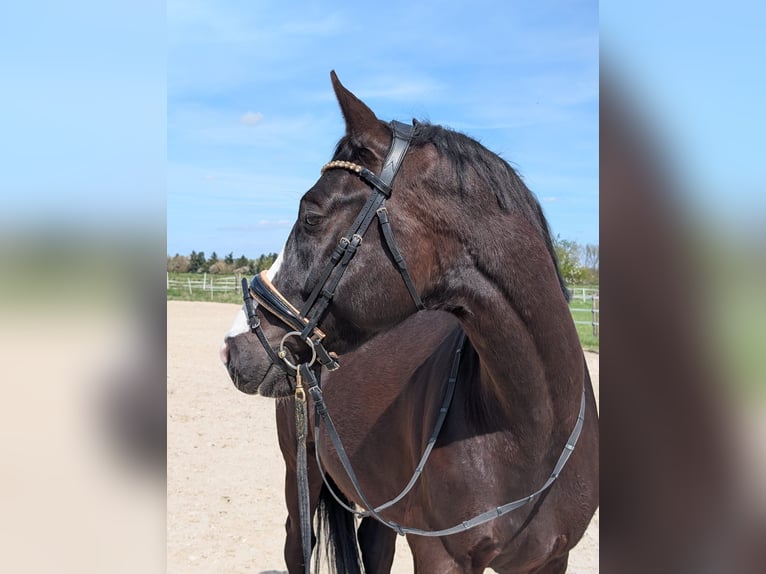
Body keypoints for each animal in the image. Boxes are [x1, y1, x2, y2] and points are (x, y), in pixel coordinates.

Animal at [221, 71, 599, 573]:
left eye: (312, 216)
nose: (232, 346)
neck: (531, 430)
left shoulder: (551, 559)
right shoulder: (440, 555)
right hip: (300, 481)